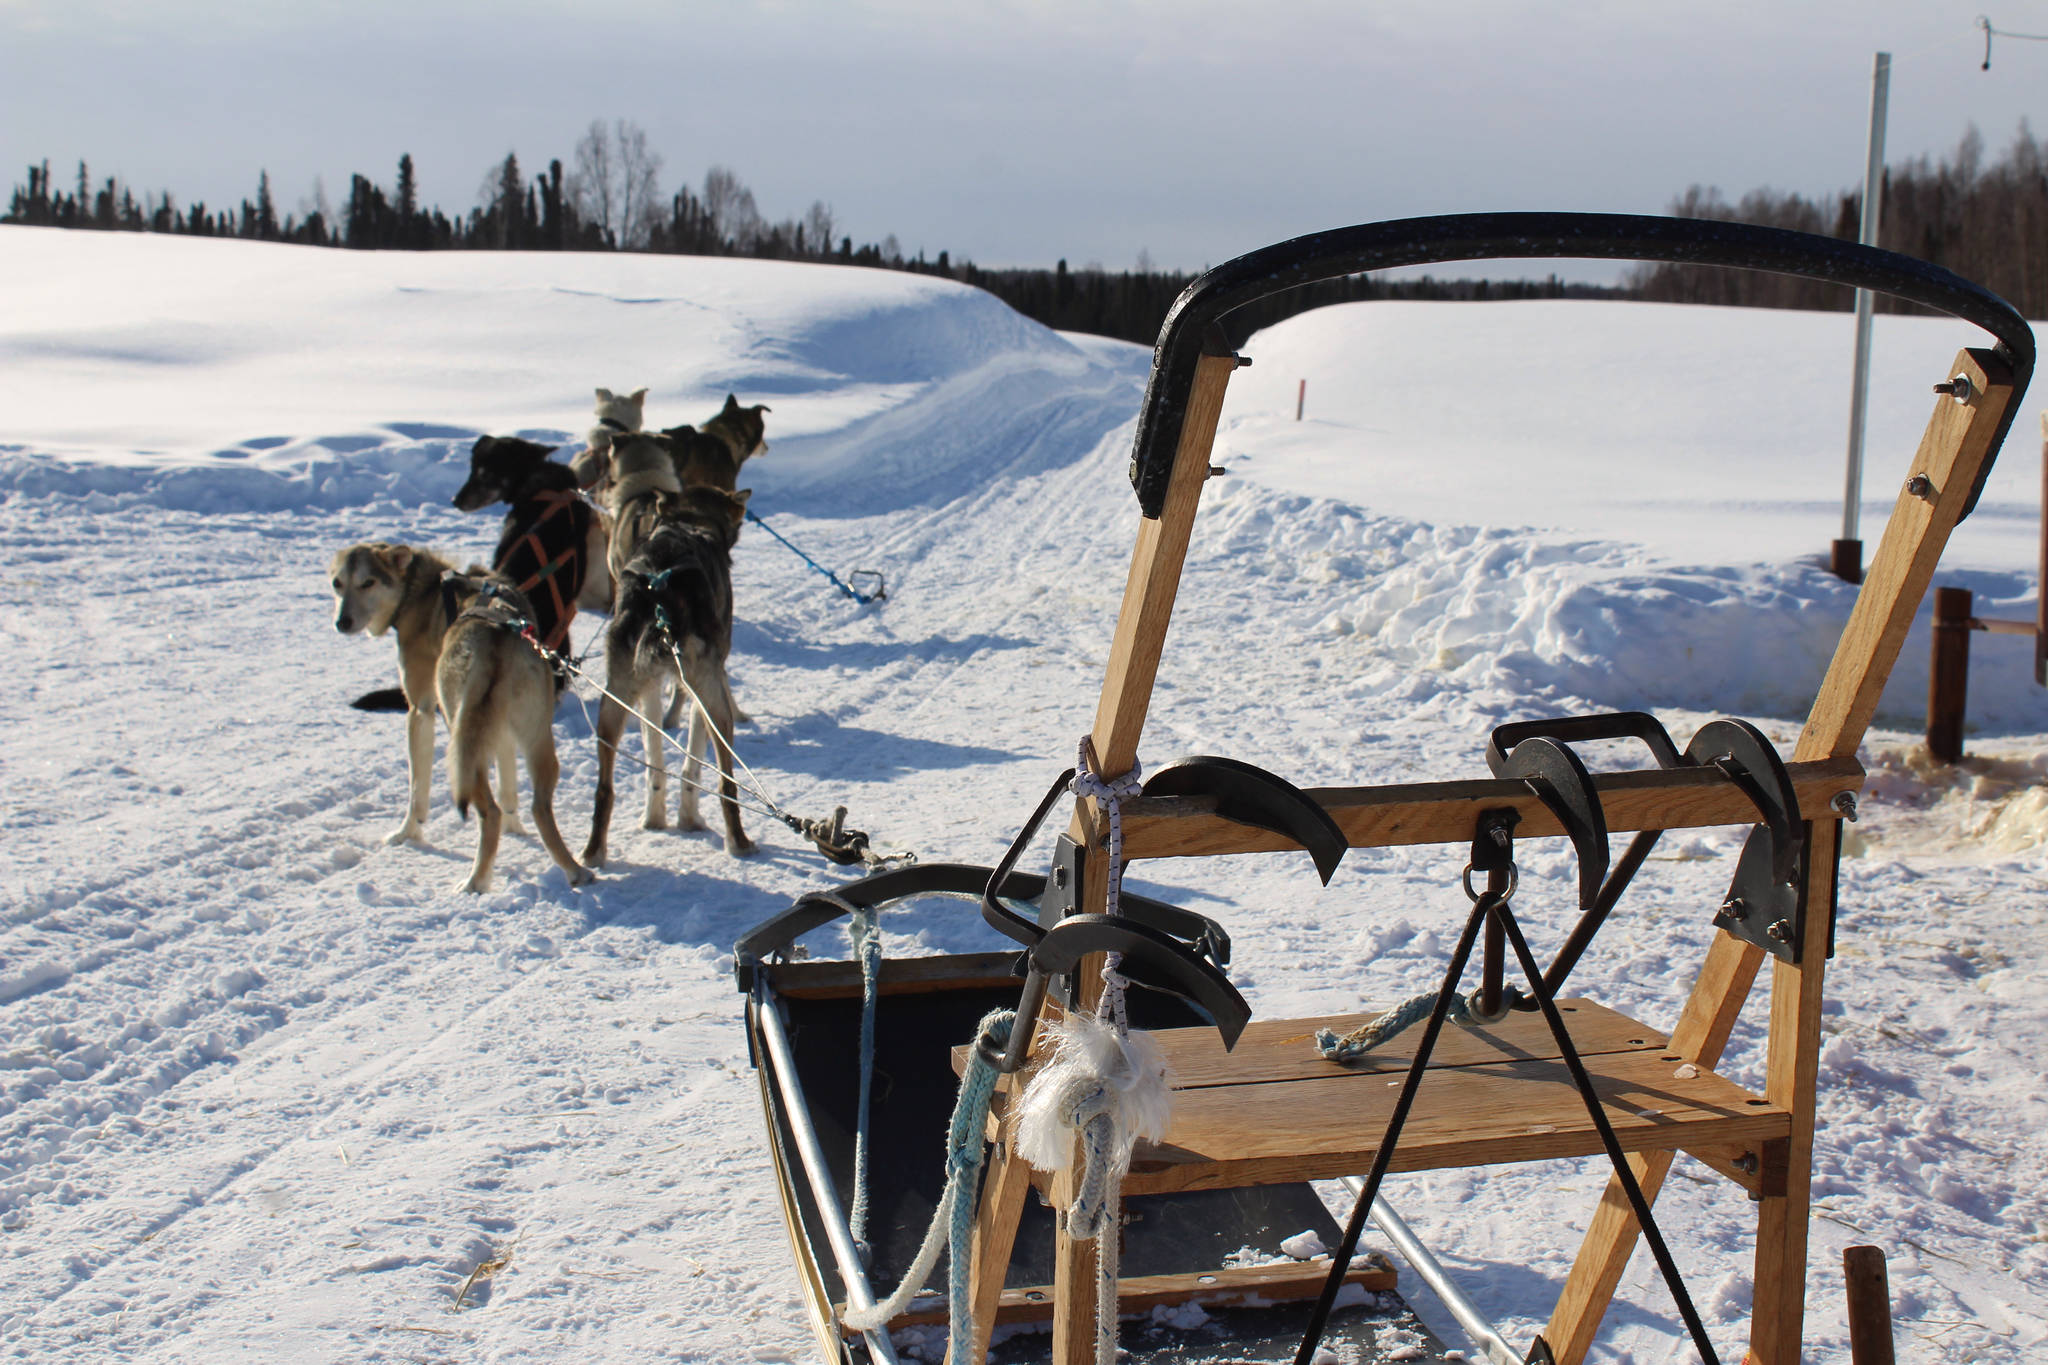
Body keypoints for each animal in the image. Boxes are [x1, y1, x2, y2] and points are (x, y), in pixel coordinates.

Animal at [323, 540, 524, 843]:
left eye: (368, 582)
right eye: (338, 583)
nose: (341, 622)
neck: (419, 593)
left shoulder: (420, 710)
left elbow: (417, 790)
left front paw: (407, 833)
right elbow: (509, 789)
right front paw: (516, 830)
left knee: (488, 805)